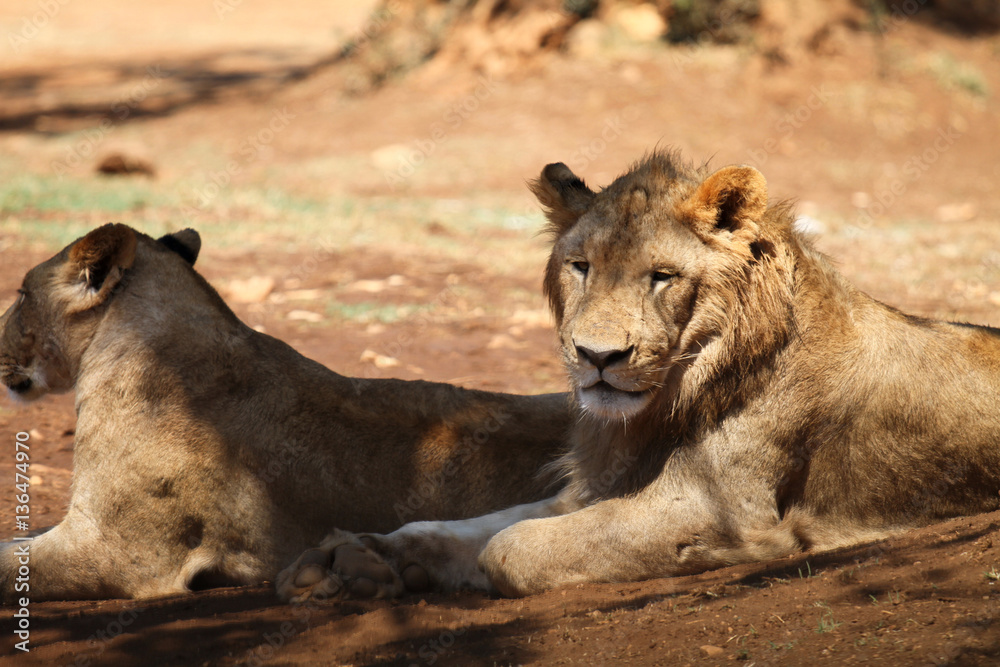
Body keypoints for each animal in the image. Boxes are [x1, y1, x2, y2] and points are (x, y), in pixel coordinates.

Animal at [277, 149, 1000, 602]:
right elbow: (454, 527)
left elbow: (507, 550)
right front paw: (354, 558)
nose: (598, 357)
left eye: (661, 276)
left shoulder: (718, 506)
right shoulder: (599, 486)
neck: (669, 402)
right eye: (581, 267)